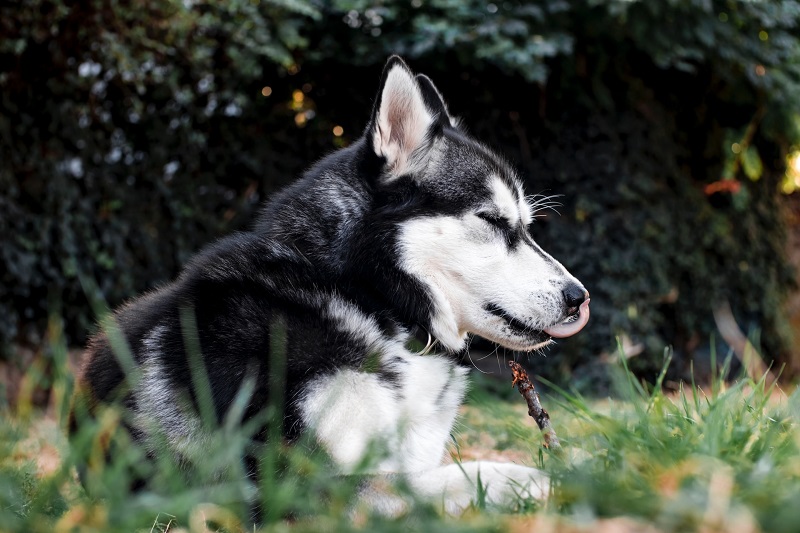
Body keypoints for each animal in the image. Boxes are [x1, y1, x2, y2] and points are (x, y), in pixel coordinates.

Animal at [73, 56, 588, 512]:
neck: (372, 302)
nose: (578, 298)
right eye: (493, 220)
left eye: (527, 225)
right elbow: (456, 477)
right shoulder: (287, 485)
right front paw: (569, 481)